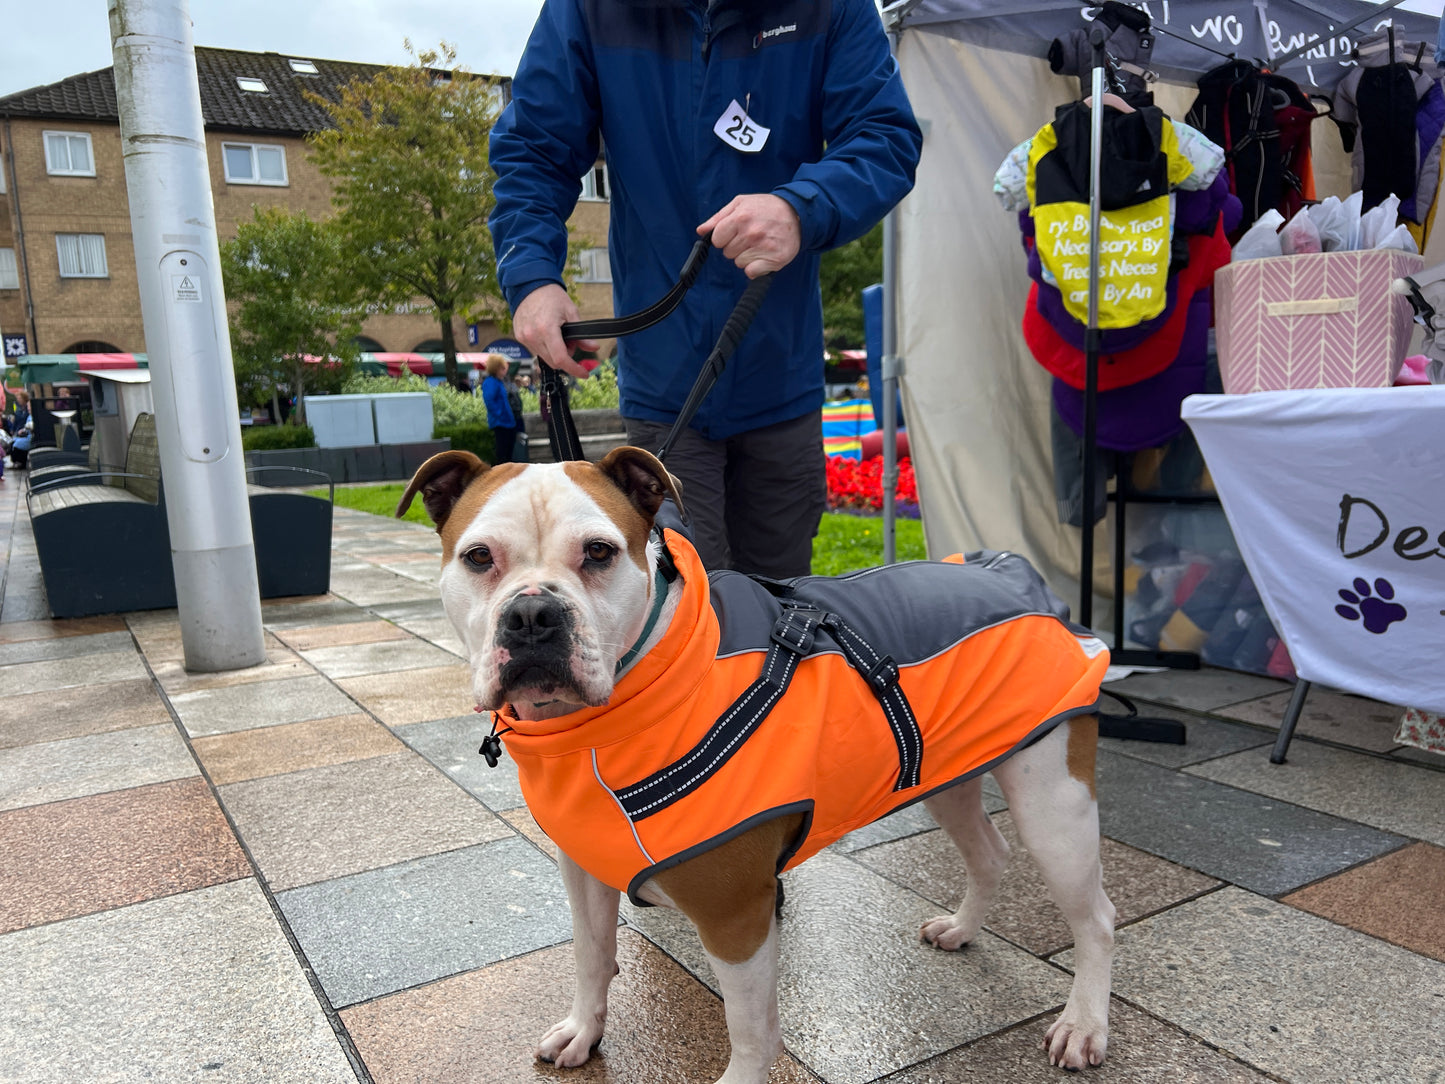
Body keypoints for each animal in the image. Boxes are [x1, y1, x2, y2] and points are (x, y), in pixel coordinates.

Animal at [395, 445, 1115, 1081]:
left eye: (598, 552)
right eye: (478, 557)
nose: (533, 614)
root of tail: (1011, 572)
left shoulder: (735, 914)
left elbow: (749, 1028)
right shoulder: (585, 869)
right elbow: (592, 955)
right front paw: (583, 1030)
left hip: (1054, 806)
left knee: (1096, 919)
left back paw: (1083, 1025)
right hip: (948, 775)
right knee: (989, 852)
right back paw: (962, 929)